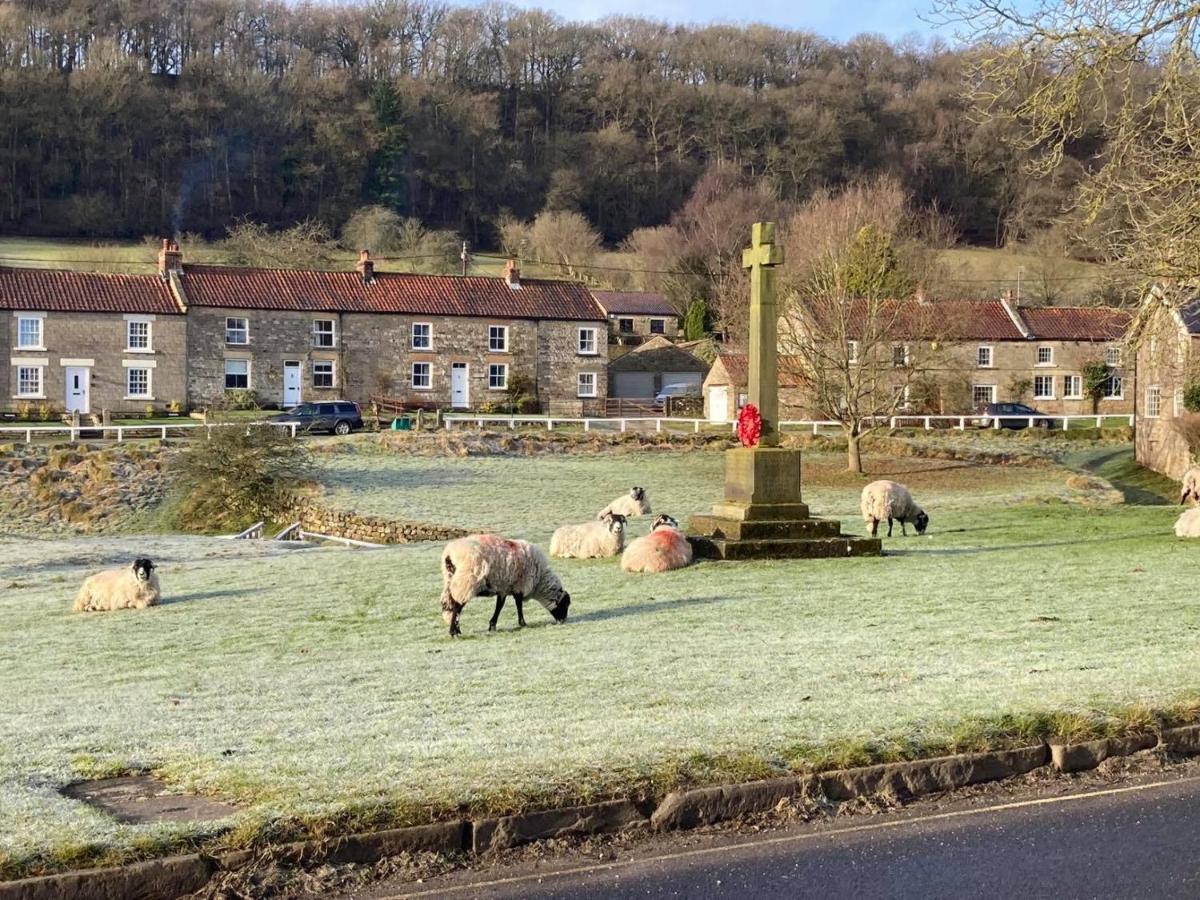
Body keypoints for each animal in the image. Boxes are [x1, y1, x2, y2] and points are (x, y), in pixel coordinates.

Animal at [441, 532, 571, 638]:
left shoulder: (503, 587)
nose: (563, 621)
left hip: (451, 581)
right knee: (457, 605)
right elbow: (518, 604)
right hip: (466, 582)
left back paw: (457, 630)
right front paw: (523, 623)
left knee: (452, 604)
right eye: (565, 604)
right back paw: (454, 632)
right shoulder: (519, 585)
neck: (539, 580)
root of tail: (450, 554)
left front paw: (492, 625)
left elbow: (500, 606)